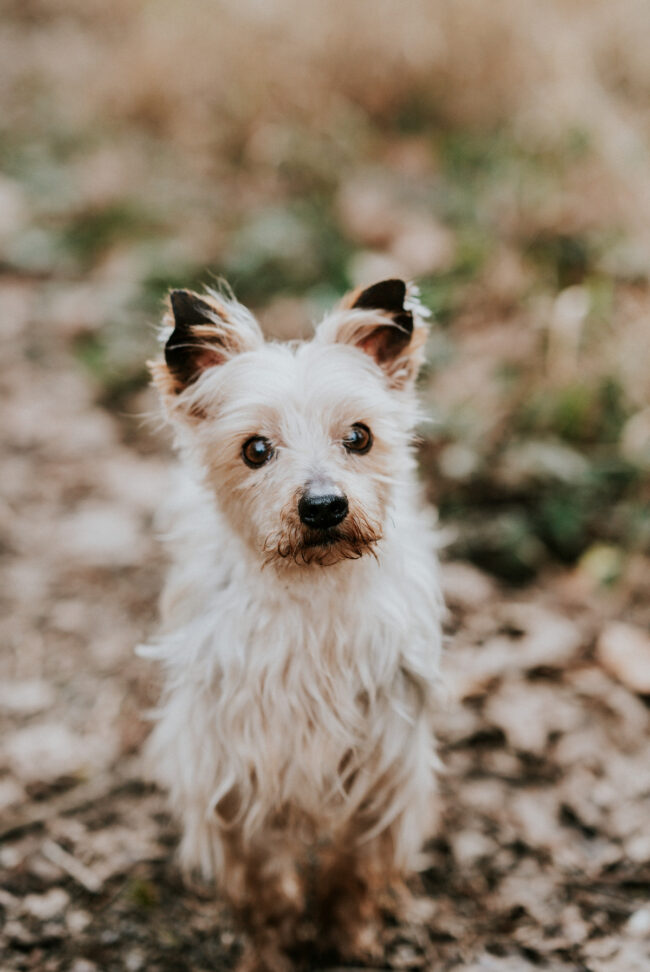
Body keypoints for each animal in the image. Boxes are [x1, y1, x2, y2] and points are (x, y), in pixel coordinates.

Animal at [140, 278, 446, 968]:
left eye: (359, 436)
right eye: (255, 449)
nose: (325, 506)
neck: (312, 597)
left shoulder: (383, 768)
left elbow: (354, 870)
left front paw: (350, 938)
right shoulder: (235, 776)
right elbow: (264, 890)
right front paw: (269, 951)